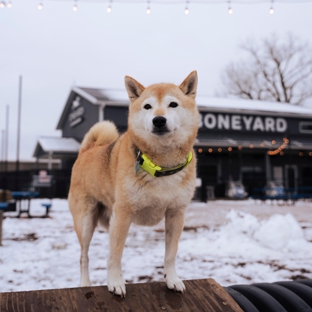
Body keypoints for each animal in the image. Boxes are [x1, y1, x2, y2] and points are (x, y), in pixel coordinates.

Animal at [69, 70, 200, 298]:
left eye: (173, 104)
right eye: (147, 106)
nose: (158, 120)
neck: (161, 166)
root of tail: (86, 151)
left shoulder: (176, 213)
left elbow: (171, 253)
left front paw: (172, 279)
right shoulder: (123, 213)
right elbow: (115, 255)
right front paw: (115, 282)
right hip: (85, 221)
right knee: (84, 256)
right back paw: (85, 283)